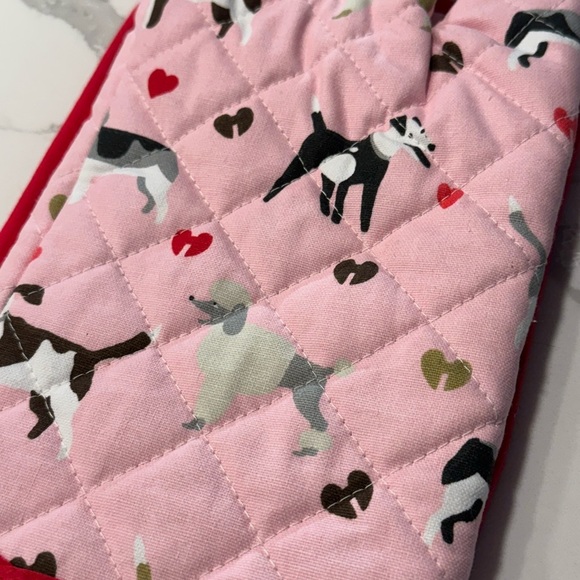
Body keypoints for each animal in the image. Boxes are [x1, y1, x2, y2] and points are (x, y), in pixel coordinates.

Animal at [0, 285, 154, 459]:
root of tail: (88, 355)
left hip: (65, 400)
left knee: (65, 430)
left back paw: (61, 454)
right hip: (39, 398)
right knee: (46, 417)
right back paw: (35, 435)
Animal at [183, 279, 347, 456]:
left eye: (214, 303)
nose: (191, 297)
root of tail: (323, 369)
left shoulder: (221, 379)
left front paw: (198, 422)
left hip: (304, 397)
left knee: (321, 422)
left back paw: (309, 451)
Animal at [264, 97, 436, 232]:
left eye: (423, 131)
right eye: (410, 135)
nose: (432, 146)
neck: (379, 149)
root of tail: (321, 130)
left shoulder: (371, 185)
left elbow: (366, 207)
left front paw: (364, 229)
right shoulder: (345, 183)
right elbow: (340, 204)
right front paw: (336, 221)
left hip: (327, 177)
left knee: (324, 194)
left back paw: (324, 212)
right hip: (301, 165)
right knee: (281, 181)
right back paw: (266, 200)